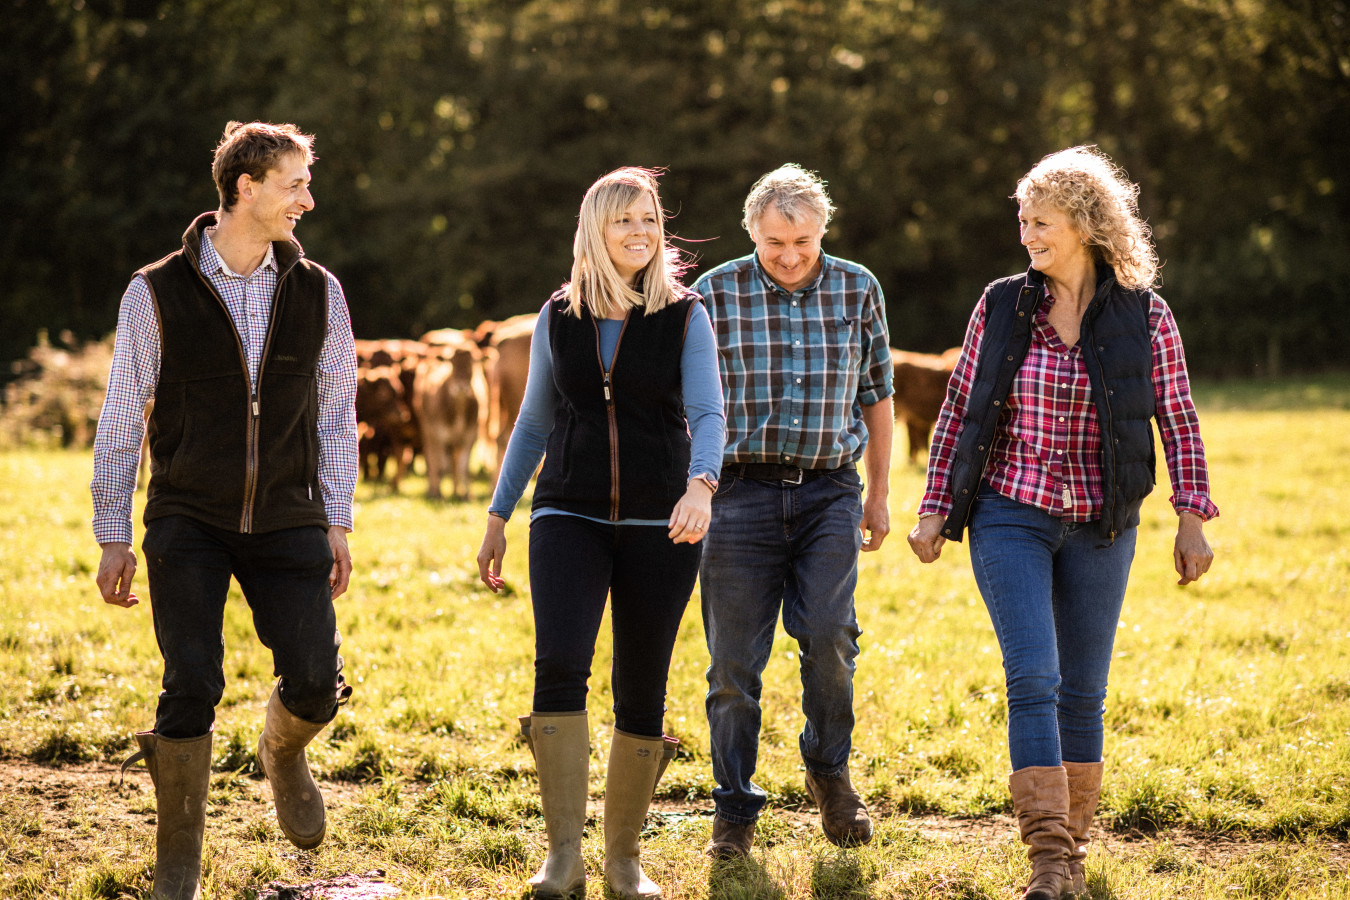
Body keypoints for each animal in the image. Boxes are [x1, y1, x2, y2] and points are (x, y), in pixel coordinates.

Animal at [418, 335, 494, 504]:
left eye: (473, 362)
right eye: (451, 362)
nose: (461, 386)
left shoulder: (470, 435)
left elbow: (463, 467)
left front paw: (466, 495)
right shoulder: (439, 434)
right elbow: (439, 465)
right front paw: (438, 494)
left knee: (453, 463)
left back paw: (455, 491)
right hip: (427, 430)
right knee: (431, 459)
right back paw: (431, 490)